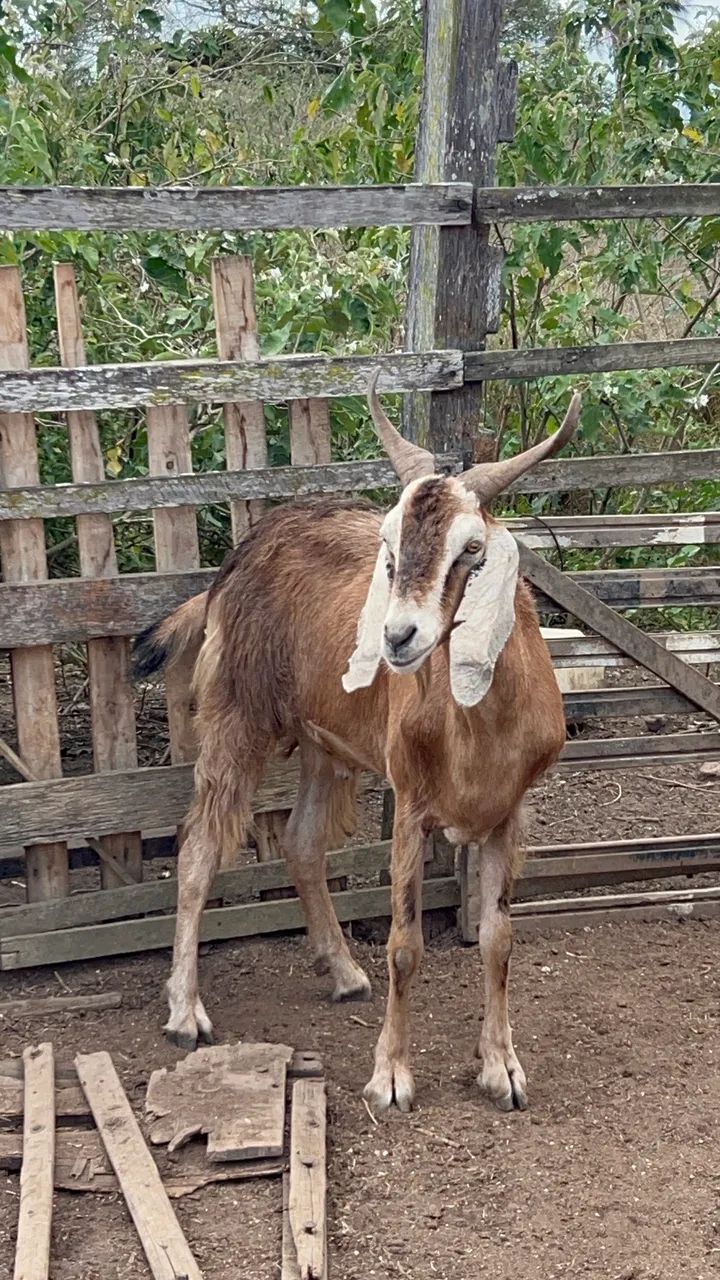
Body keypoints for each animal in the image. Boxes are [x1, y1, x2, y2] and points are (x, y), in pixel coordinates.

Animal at [134, 375, 580, 1113]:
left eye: (472, 549)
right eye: (389, 545)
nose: (397, 637)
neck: (479, 729)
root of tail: (238, 558)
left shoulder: (507, 812)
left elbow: (498, 939)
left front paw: (502, 1069)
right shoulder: (411, 801)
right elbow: (404, 944)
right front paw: (391, 1076)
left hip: (325, 742)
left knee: (301, 842)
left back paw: (343, 971)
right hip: (236, 715)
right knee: (197, 847)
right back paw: (184, 1012)